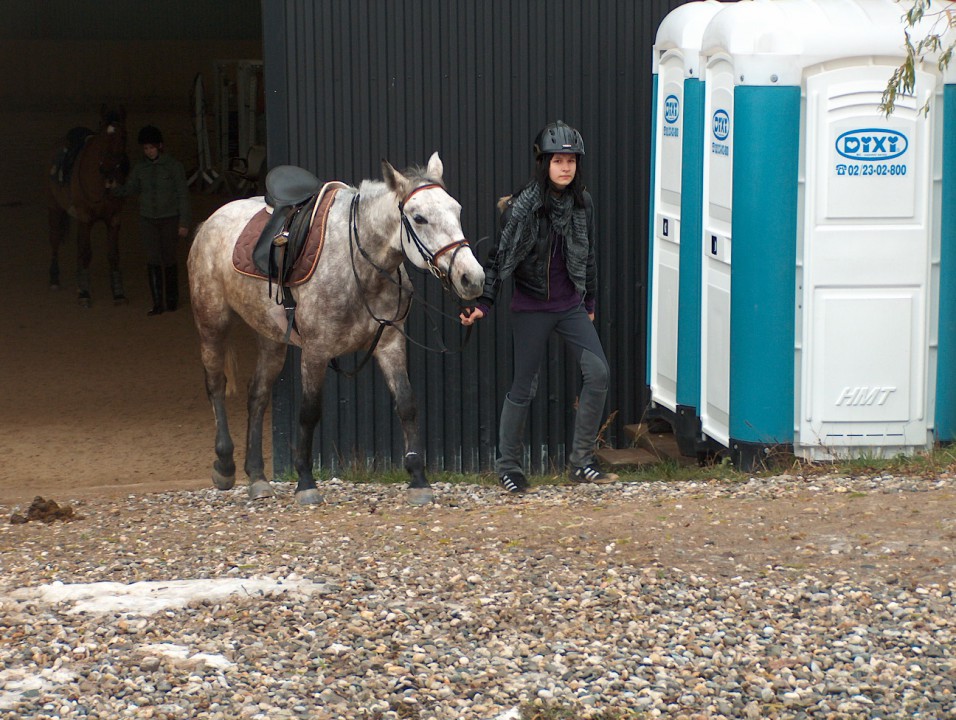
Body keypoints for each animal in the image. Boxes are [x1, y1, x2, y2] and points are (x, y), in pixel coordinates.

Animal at [47, 105, 131, 306]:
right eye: (102, 136)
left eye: (123, 135)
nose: (108, 169)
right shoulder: (85, 217)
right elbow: (85, 252)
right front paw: (84, 293)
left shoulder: (114, 219)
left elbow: (113, 255)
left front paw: (118, 293)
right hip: (54, 209)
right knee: (54, 239)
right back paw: (54, 278)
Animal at [188, 151, 486, 504]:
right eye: (419, 218)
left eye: (457, 210)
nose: (472, 278)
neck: (357, 264)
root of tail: (210, 222)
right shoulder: (316, 351)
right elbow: (309, 411)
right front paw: (305, 481)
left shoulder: (390, 342)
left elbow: (407, 404)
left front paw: (418, 479)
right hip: (212, 321)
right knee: (215, 385)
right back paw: (224, 465)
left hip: (271, 337)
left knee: (257, 394)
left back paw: (258, 477)